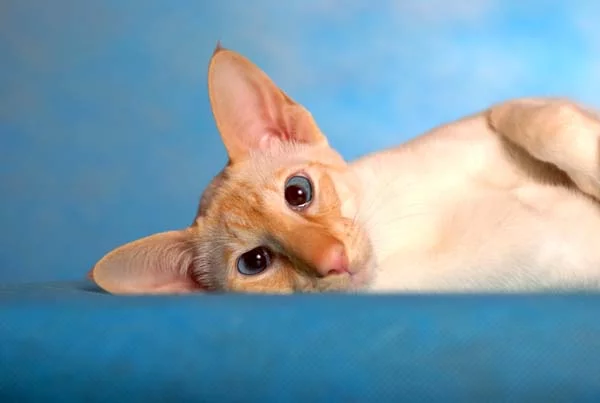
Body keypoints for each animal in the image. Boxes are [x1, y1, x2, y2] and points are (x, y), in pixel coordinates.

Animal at [89, 44, 600, 294]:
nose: (330, 260)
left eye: (298, 192)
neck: (399, 233)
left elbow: (545, 122)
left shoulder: (509, 112)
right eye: (255, 262)